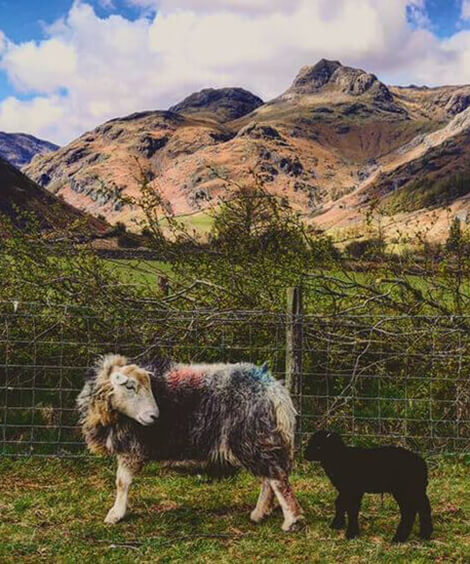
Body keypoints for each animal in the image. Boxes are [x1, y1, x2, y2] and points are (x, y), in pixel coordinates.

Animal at [77, 354, 304, 532]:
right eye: (130, 386)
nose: (154, 416)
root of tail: (273, 389)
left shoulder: (131, 448)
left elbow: (122, 482)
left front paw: (115, 514)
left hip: (252, 437)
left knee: (277, 478)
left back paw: (291, 520)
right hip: (262, 439)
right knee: (269, 478)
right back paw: (259, 513)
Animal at [304, 432, 434, 540]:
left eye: (318, 446)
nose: (305, 454)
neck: (339, 458)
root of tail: (422, 463)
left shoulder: (353, 489)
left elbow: (352, 509)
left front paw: (351, 533)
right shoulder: (345, 489)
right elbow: (340, 504)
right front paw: (337, 525)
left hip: (405, 489)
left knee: (409, 511)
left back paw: (400, 537)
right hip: (416, 489)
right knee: (423, 507)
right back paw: (424, 534)